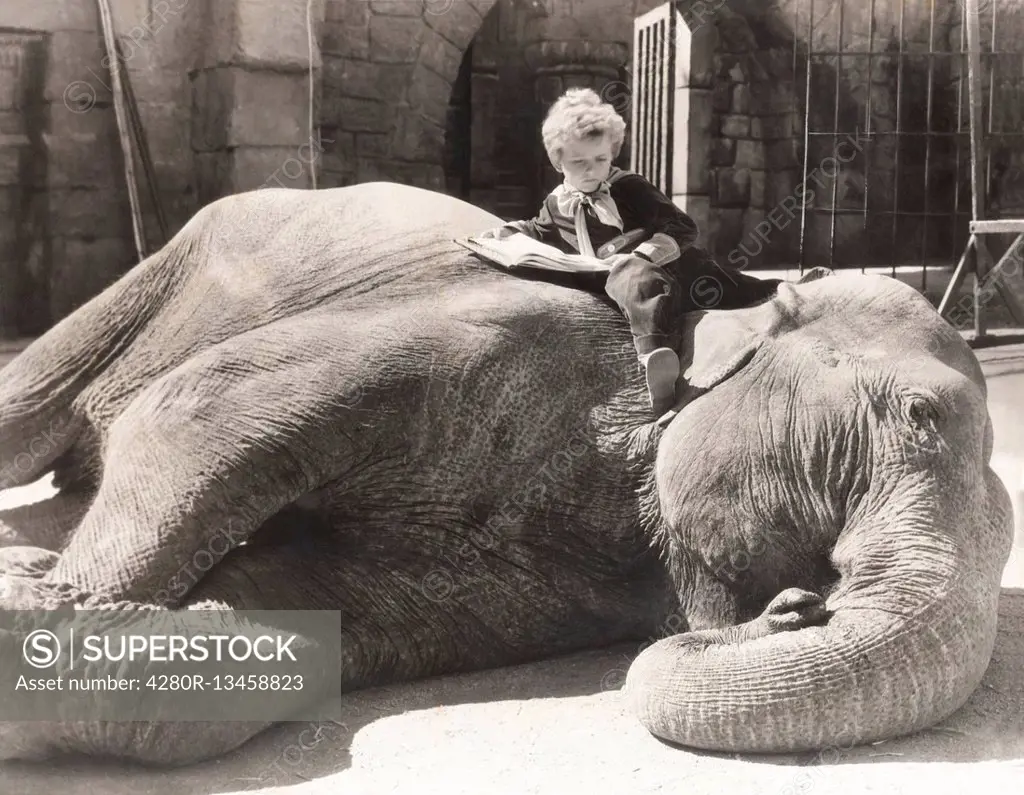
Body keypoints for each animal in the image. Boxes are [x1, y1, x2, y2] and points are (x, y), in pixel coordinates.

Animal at [0, 180, 1011, 762]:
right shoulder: (497, 330)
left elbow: (297, 615)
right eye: (916, 415)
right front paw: (42, 593)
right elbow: (200, 411)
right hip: (169, 269)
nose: (801, 606)